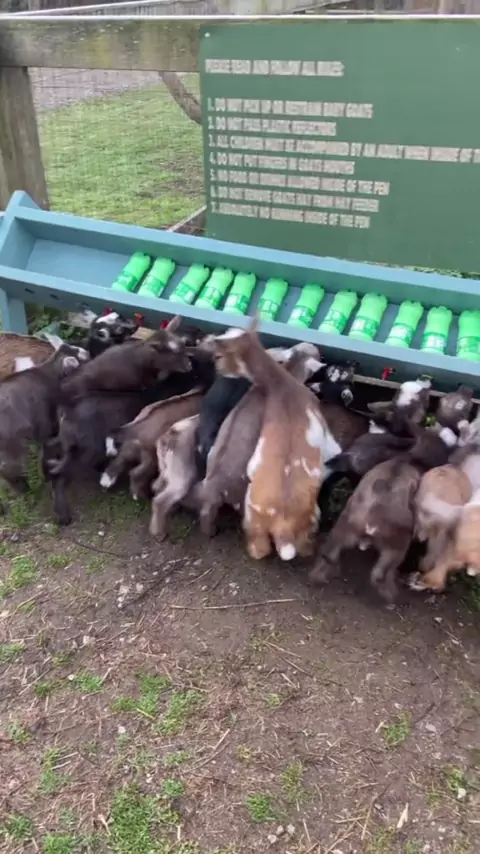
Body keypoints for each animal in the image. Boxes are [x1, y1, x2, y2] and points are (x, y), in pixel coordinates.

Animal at [0, 336, 89, 495]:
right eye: (80, 357)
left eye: (74, 347)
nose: (88, 352)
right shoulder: (42, 421)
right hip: (14, 443)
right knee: (12, 468)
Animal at [309, 424, 458, 603]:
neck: (413, 457)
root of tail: (370, 520)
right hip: (396, 547)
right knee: (380, 574)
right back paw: (392, 597)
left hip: (343, 528)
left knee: (328, 554)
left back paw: (318, 577)